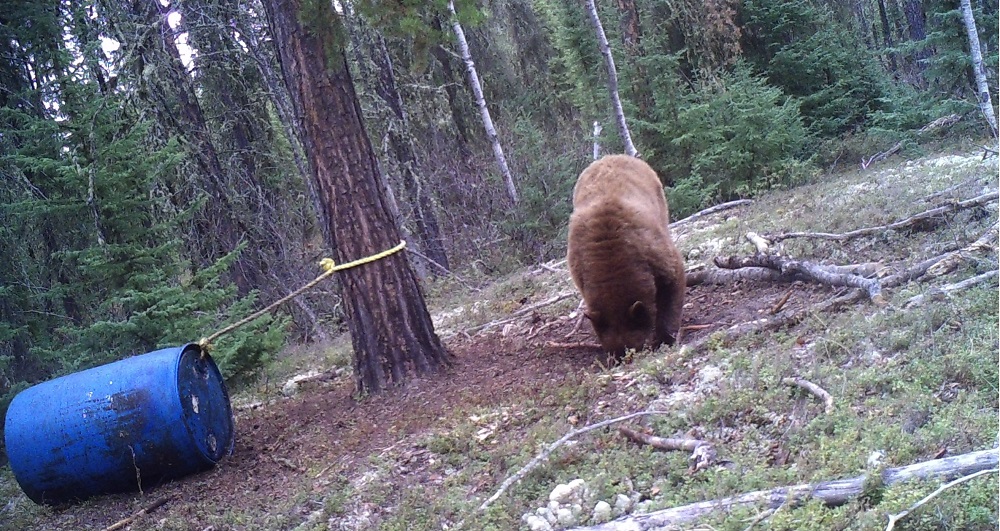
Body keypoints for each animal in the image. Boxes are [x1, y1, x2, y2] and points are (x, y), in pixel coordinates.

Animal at [568, 156, 684, 360]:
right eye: (616, 352)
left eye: (633, 347)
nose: (621, 358)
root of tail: (613, 155)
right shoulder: (578, 266)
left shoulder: (651, 249)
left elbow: (672, 279)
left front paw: (665, 338)